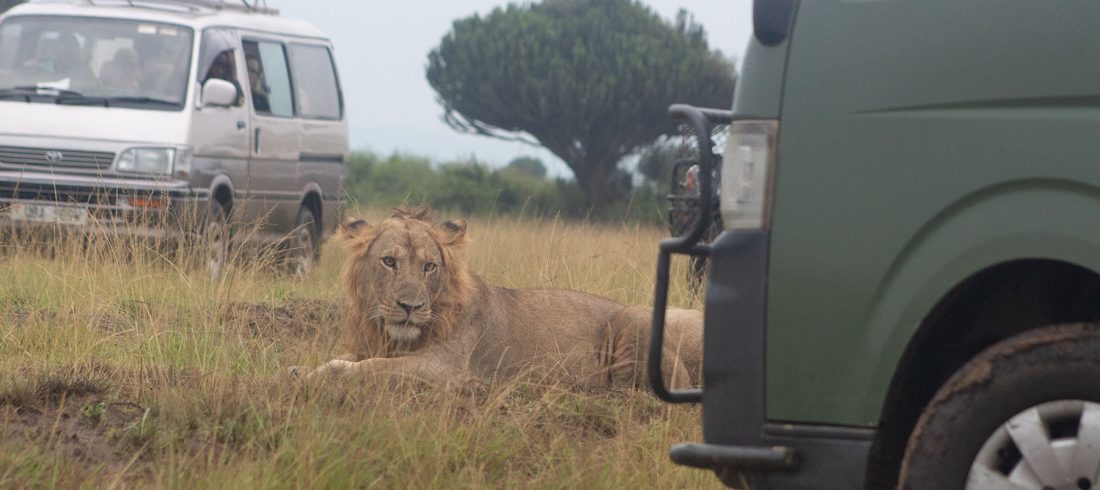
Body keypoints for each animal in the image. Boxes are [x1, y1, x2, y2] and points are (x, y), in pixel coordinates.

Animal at [297, 205, 699, 389]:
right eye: (389, 261)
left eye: (429, 267)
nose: (410, 308)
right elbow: (348, 359)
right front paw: (301, 370)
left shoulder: (446, 369)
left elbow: (368, 368)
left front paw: (325, 374)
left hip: (634, 319)